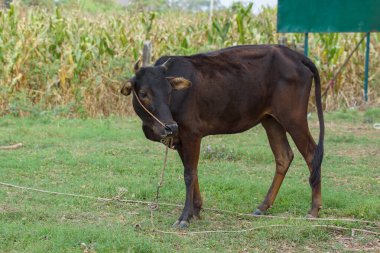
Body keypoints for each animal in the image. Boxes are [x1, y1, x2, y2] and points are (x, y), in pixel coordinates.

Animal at [121, 45, 324, 229]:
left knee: (312, 155)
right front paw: (196, 210)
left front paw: (185, 217)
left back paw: (314, 210)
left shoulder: (191, 134)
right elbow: (193, 171)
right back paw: (263, 207)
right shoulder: (180, 139)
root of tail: (294, 55)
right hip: (270, 120)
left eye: (169, 92)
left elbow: (189, 174)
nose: (169, 126)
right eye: (143, 93)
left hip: (293, 117)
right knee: (284, 156)